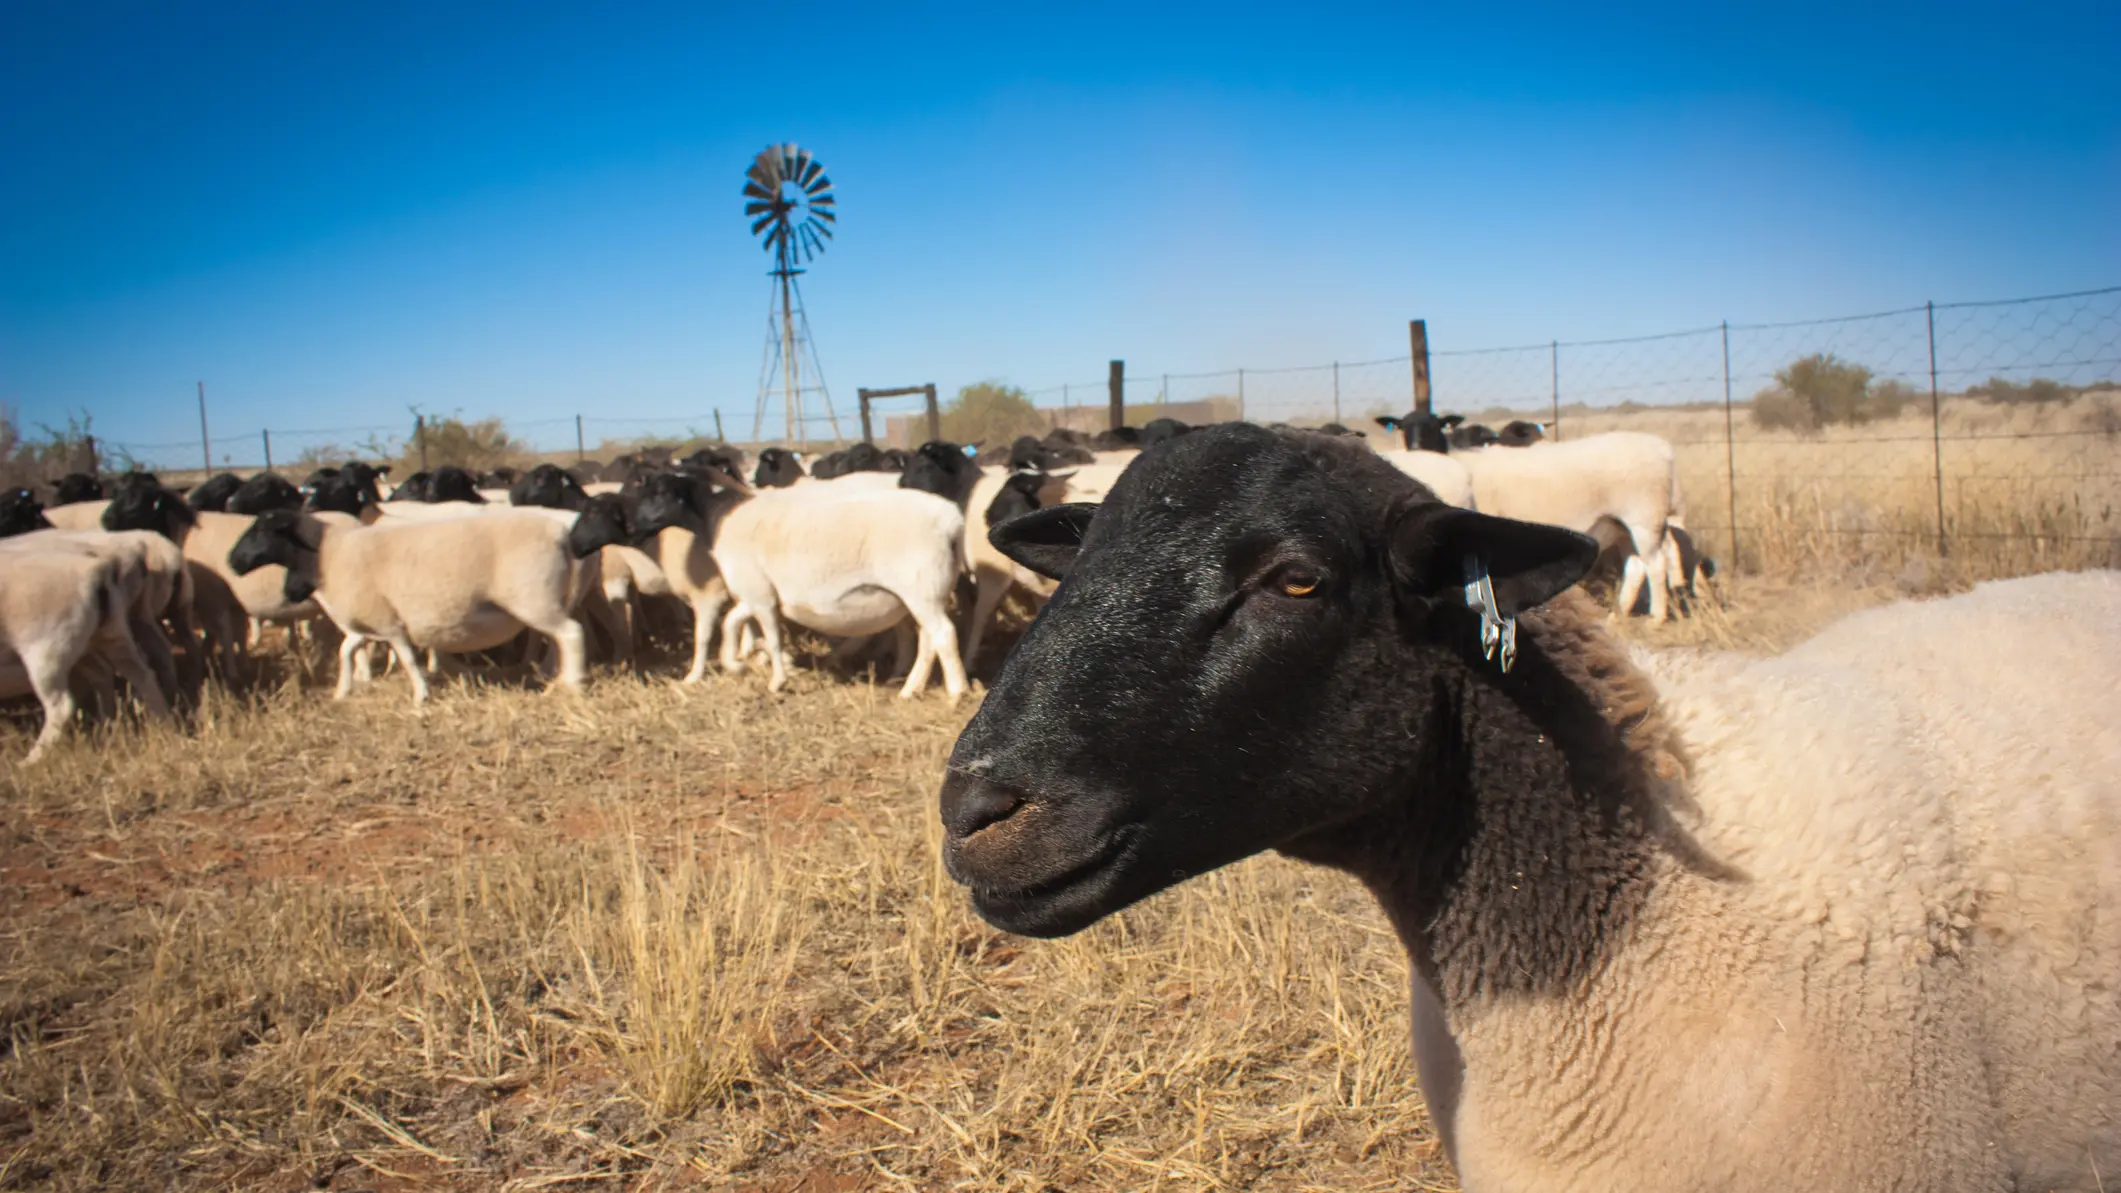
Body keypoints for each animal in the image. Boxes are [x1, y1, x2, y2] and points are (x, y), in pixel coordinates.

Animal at [0, 550, 173, 762]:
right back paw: (161, 729)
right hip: (110, 637)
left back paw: (31, 761)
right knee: (139, 675)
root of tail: (96, 571)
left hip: (47, 652)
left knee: (61, 706)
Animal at [228, 507, 620, 702]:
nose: (233, 561)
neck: (329, 554)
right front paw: (343, 690)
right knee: (560, 638)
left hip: (533, 600)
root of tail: (562, 534)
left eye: (262, 529)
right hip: (546, 601)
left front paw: (419, 696)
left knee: (570, 634)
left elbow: (405, 657)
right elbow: (347, 649)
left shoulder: (389, 622)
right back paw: (556, 677)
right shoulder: (370, 621)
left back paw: (573, 683)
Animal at [708, 483, 968, 699]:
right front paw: (736, 663)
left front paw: (777, 681)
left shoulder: (761, 595)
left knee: (943, 634)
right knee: (928, 638)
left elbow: (772, 639)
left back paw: (956, 691)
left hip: (921, 590)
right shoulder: (754, 596)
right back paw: (910, 689)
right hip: (926, 594)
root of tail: (952, 522)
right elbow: (730, 623)